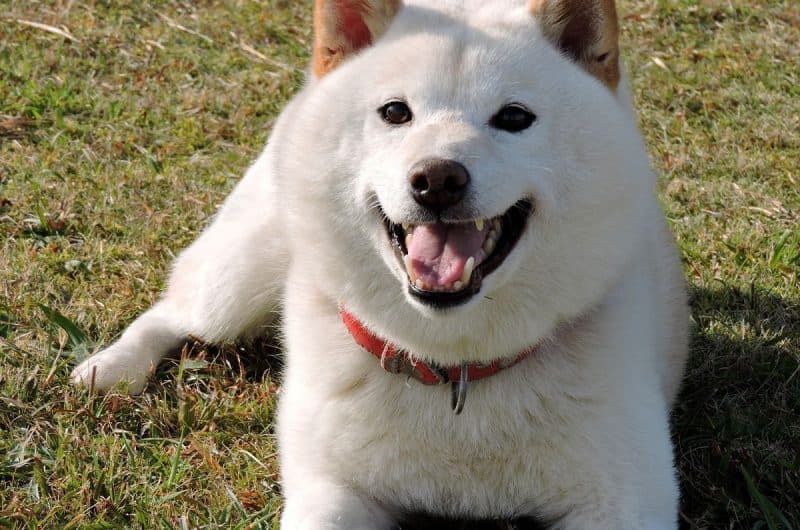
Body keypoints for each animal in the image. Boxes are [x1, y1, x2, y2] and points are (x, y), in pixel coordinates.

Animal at [72, 1, 692, 524]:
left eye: (515, 117)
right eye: (395, 112)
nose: (437, 179)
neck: (454, 370)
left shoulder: (627, 500)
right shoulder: (332, 490)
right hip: (238, 281)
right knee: (173, 311)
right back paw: (112, 367)